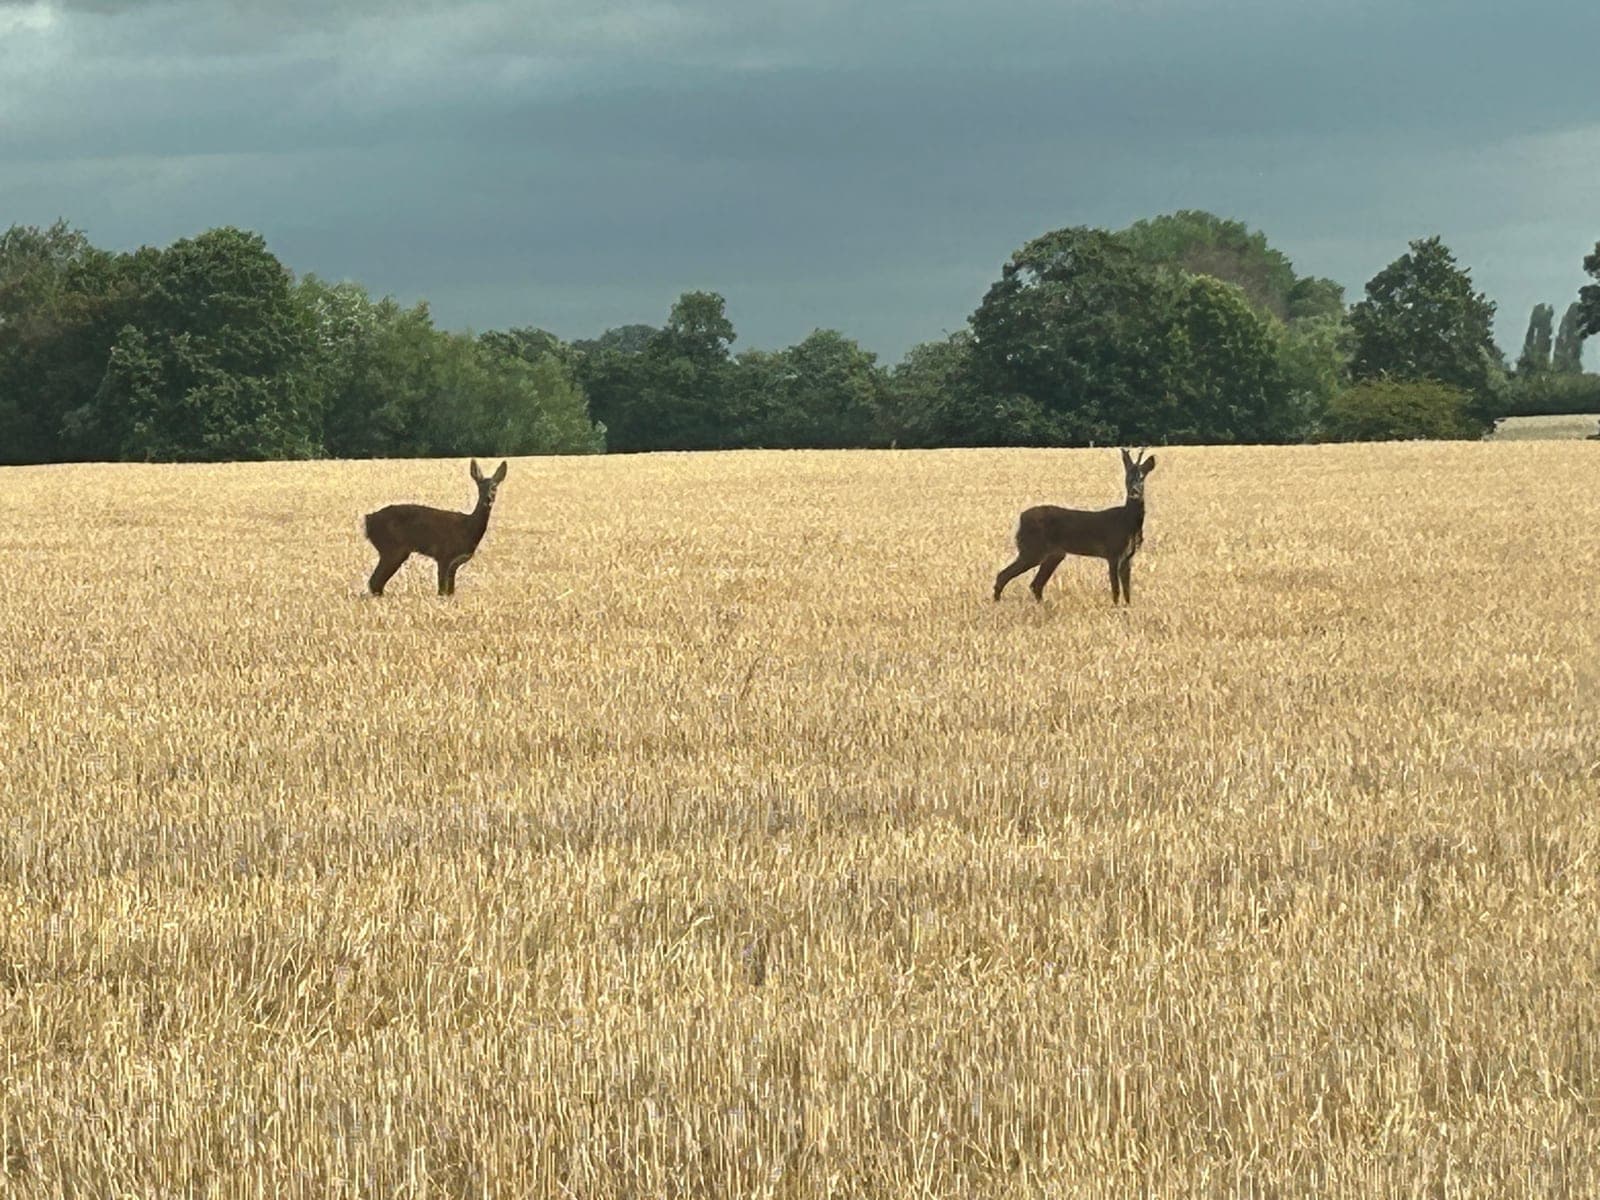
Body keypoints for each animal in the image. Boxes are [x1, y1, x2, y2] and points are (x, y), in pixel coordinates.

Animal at [364, 459, 508, 596]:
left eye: (495, 487)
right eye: (479, 487)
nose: (488, 499)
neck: (468, 528)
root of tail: (368, 520)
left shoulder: (455, 563)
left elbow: (450, 592)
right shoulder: (444, 555)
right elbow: (442, 591)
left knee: (376, 583)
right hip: (392, 548)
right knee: (374, 582)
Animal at [993, 447, 1157, 606]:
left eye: (1142, 477)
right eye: (1127, 477)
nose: (1134, 492)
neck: (1127, 522)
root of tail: (1020, 518)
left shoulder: (1129, 556)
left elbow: (1127, 589)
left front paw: (1127, 608)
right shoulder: (1113, 552)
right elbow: (1115, 588)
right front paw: (1115, 607)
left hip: (1054, 554)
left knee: (1036, 584)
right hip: (1032, 549)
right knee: (1003, 575)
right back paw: (997, 603)